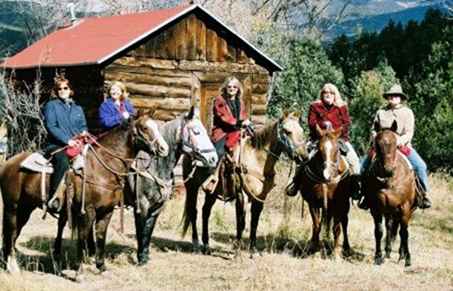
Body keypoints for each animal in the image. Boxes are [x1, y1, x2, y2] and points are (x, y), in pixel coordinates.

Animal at [0, 114, 168, 274]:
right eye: (145, 128)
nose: (164, 148)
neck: (102, 169)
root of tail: (9, 163)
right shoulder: (87, 210)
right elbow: (83, 236)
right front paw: (79, 271)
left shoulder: (106, 211)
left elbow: (100, 236)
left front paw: (101, 267)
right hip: (12, 207)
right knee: (11, 232)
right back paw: (12, 267)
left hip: (25, 208)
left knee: (14, 233)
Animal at [182, 112, 306, 256]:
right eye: (287, 131)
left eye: (301, 131)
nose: (303, 157)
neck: (256, 158)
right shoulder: (242, 195)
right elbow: (241, 221)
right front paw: (238, 251)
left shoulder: (260, 197)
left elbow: (254, 222)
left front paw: (253, 250)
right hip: (192, 187)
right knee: (193, 211)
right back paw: (196, 244)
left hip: (211, 192)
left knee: (205, 212)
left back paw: (206, 244)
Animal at [294, 126, 354, 258]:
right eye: (319, 149)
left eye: (337, 150)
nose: (327, 174)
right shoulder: (313, 203)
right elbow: (317, 225)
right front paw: (315, 248)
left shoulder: (339, 203)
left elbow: (337, 227)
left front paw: (336, 253)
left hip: (344, 205)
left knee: (344, 222)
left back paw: (346, 247)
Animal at [360, 122, 416, 268]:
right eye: (377, 144)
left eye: (395, 143)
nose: (388, 170)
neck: (389, 181)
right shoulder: (376, 208)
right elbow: (379, 231)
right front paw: (378, 257)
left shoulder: (405, 207)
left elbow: (404, 232)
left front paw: (408, 259)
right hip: (389, 211)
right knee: (390, 228)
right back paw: (388, 252)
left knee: (401, 230)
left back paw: (401, 254)